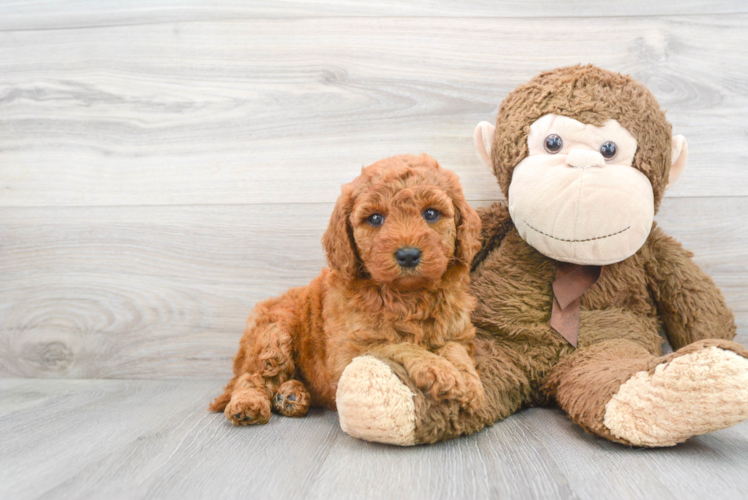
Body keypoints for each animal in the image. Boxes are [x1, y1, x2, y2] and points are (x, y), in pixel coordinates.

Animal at [207, 153, 482, 426]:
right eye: (375, 218)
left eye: (431, 213)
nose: (408, 255)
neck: (408, 296)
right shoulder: (349, 352)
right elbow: (395, 345)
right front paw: (439, 370)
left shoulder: (456, 330)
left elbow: (456, 351)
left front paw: (470, 383)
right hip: (273, 334)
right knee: (254, 376)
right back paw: (248, 404)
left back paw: (291, 396)